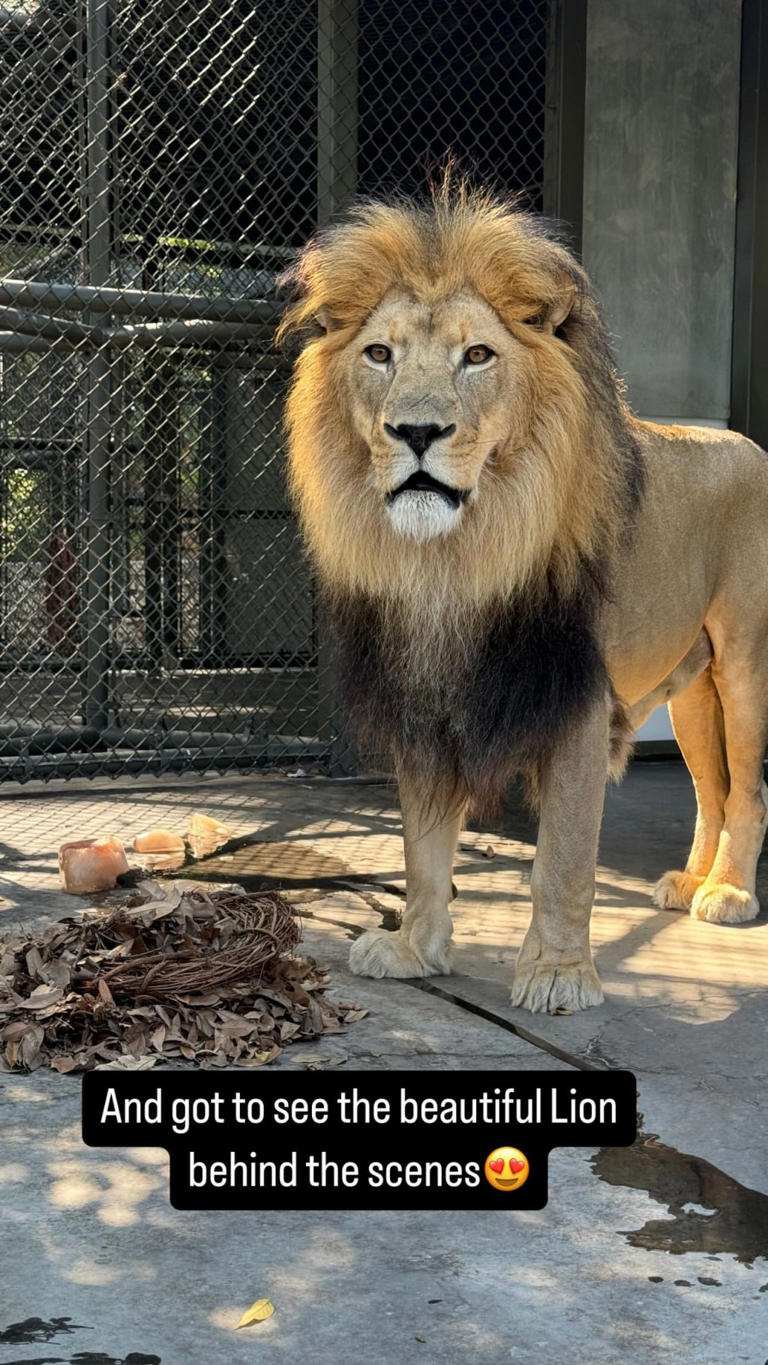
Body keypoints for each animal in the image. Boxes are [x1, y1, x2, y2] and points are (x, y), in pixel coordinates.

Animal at [279, 178, 768, 1015]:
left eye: (477, 355)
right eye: (379, 354)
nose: (416, 430)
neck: (456, 560)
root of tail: (746, 441)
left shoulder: (575, 697)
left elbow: (564, 858)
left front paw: (559, 973)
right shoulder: (427, 692)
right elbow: (421, 845)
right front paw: (414, 948)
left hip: (742, 666)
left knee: (751, 791)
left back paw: (729, 893)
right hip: (691, 690)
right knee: (712, 786)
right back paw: (691, 881)